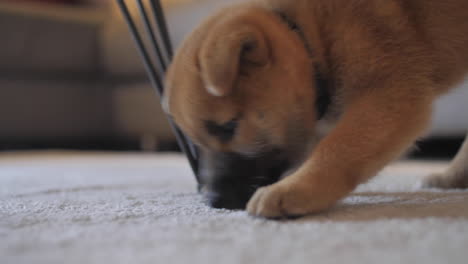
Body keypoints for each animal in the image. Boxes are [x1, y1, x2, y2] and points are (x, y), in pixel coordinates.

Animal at [162, 0, 468, 218]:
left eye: (228, 127)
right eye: (194, 141)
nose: (212, 200)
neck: (308, 36)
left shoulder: (388, 91)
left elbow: (337, 148)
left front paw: (295, 188)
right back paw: (452, 177)